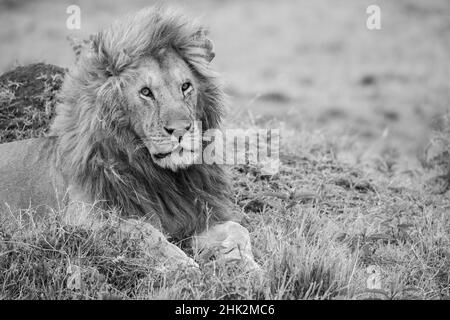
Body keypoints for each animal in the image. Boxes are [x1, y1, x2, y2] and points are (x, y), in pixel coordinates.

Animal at [0, 7, 258, 272]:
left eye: (186, 86)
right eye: (146, 92)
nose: (180, 130)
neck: (162, 177)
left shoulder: (197, 215)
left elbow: (238, 230)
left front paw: (246, 267)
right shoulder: (83, 219)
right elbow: (143, 231)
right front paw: (184, 266)